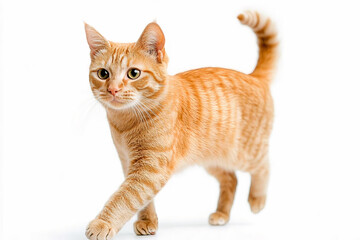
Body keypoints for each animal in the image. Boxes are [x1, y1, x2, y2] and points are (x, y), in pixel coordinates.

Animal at [84, 9, 278, 240]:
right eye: (103, 73)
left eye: (133, 73)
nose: (113, 89)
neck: (125, 123)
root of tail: (254, 76)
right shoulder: (128, 162)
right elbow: (142, 200)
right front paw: (148, 221)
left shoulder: (150, 167)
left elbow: (125, 197)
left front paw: (102, 223)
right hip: (213, 158)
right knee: (231, 179)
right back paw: (222, 214)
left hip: (244, 152)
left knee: (264, 166)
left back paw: (257, 199)